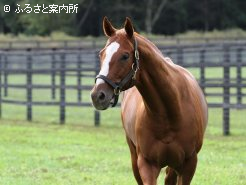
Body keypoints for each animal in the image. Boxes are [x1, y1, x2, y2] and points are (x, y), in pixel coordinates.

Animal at [91, 16, 208, 184]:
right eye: (101, 54)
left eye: (125, 56)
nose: (97, 96)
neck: (170, 113)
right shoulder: (147, 164)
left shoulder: (188, 166)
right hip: (135, 158)